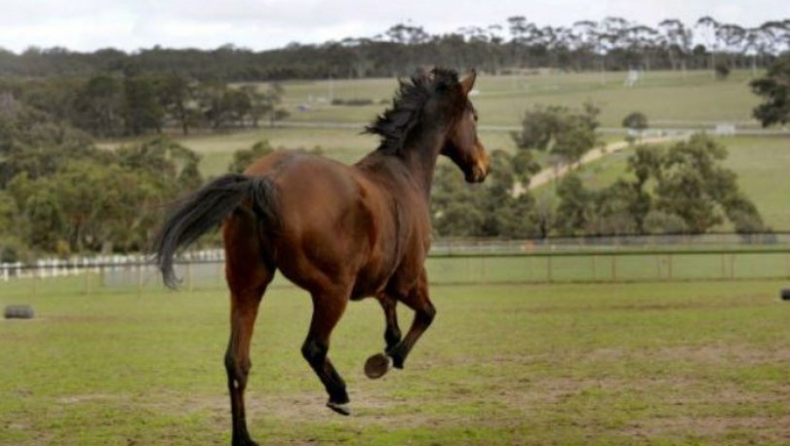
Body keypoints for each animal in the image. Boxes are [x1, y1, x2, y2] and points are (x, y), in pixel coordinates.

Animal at [152, 67, 488, 446]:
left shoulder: (379, 280)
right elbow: (427, 313)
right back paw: (340, 395)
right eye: (474, 117)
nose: (482, 166)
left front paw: (390, 344)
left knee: (237, 361)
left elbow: (391, 309)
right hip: (331, 292)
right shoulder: (408, 277)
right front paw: (387, 360)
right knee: (313, 347)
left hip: (247, 286)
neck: (403, 174)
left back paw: (245, 437)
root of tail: (264, 181)